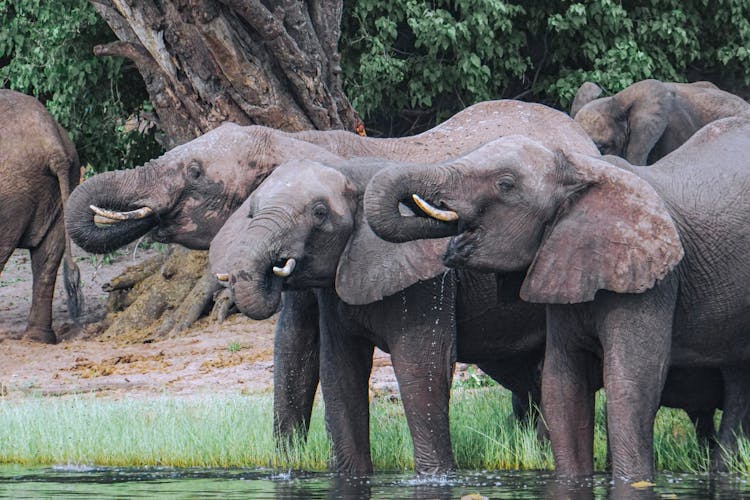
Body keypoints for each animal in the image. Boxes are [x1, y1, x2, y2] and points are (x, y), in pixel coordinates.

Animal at [368, 116, 750, 480]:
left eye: (505, 184)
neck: (578, 170)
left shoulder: (654, 282)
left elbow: (631, 384)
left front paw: (633, 480)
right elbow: (562, 385)